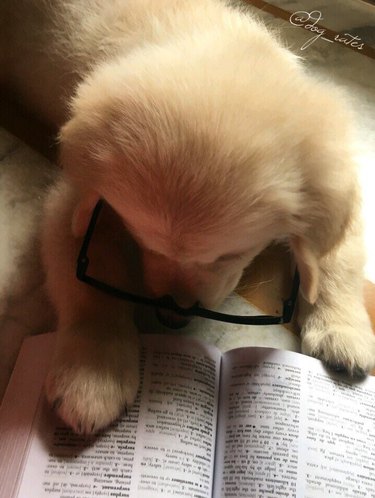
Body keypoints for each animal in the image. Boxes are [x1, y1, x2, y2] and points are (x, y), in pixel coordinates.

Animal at [1, 0, 374, 434]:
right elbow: (90, 284)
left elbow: (335, 256)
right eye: (143, 242)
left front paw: (342, 329)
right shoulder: (77, 199)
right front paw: (93, 376)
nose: (174, 316)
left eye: (229, 256)